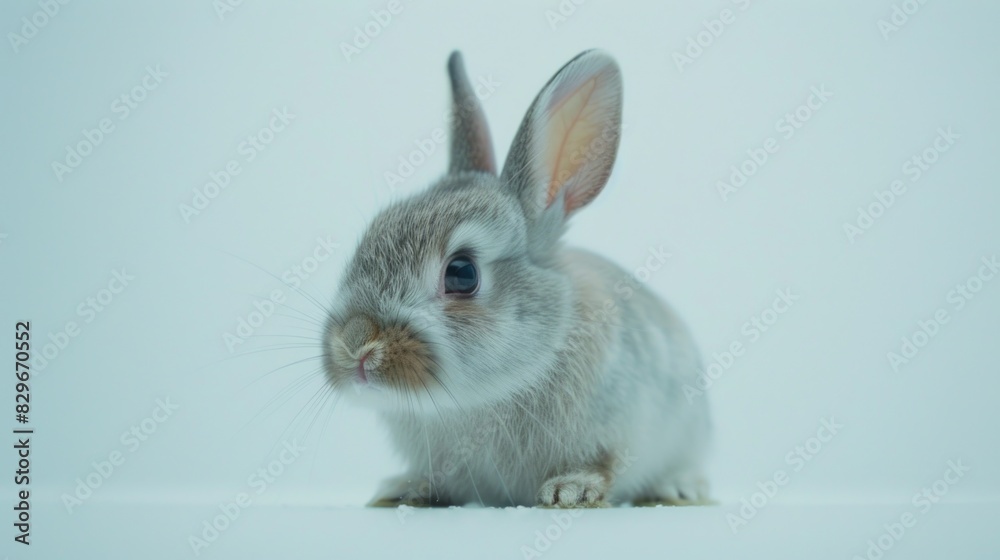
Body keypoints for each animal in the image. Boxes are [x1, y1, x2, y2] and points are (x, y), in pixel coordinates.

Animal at [322, 49, 712, 507]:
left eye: (462, 273)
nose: (354, 345)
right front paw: (403, 490)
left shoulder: (621, 425)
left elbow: (604, 464)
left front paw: (570, 491)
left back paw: (679, 487)